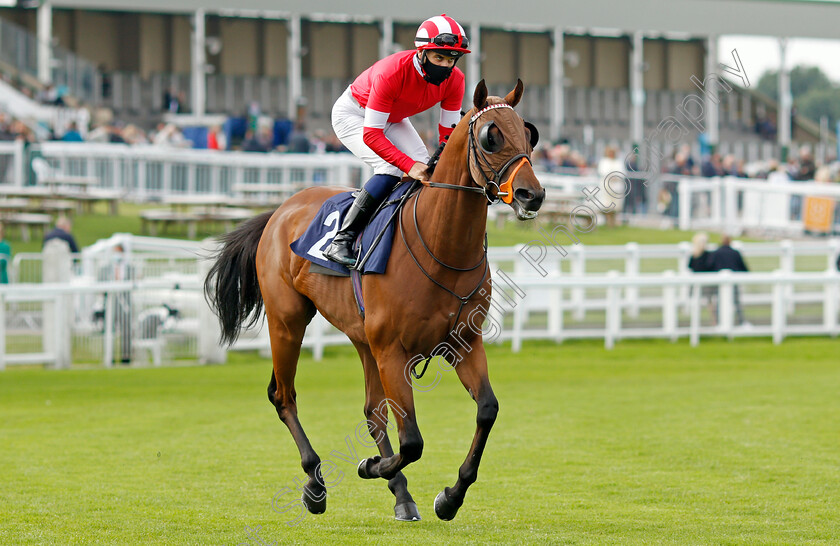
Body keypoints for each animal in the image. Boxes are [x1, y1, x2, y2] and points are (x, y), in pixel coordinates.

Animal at [203, 78, 544, 520]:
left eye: (529, 134)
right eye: (492, 136)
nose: (531, 195)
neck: (441, 247)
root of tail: (279, 210)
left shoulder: (464, 343)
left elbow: (486, 410)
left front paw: (449, 497)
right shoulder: (392, 350)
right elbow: (412, 440)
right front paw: (370, 465)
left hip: (363, 338)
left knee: (371, 411)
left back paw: (401, 495)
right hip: (288, 321)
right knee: (284, 396)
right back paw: (316, 484)